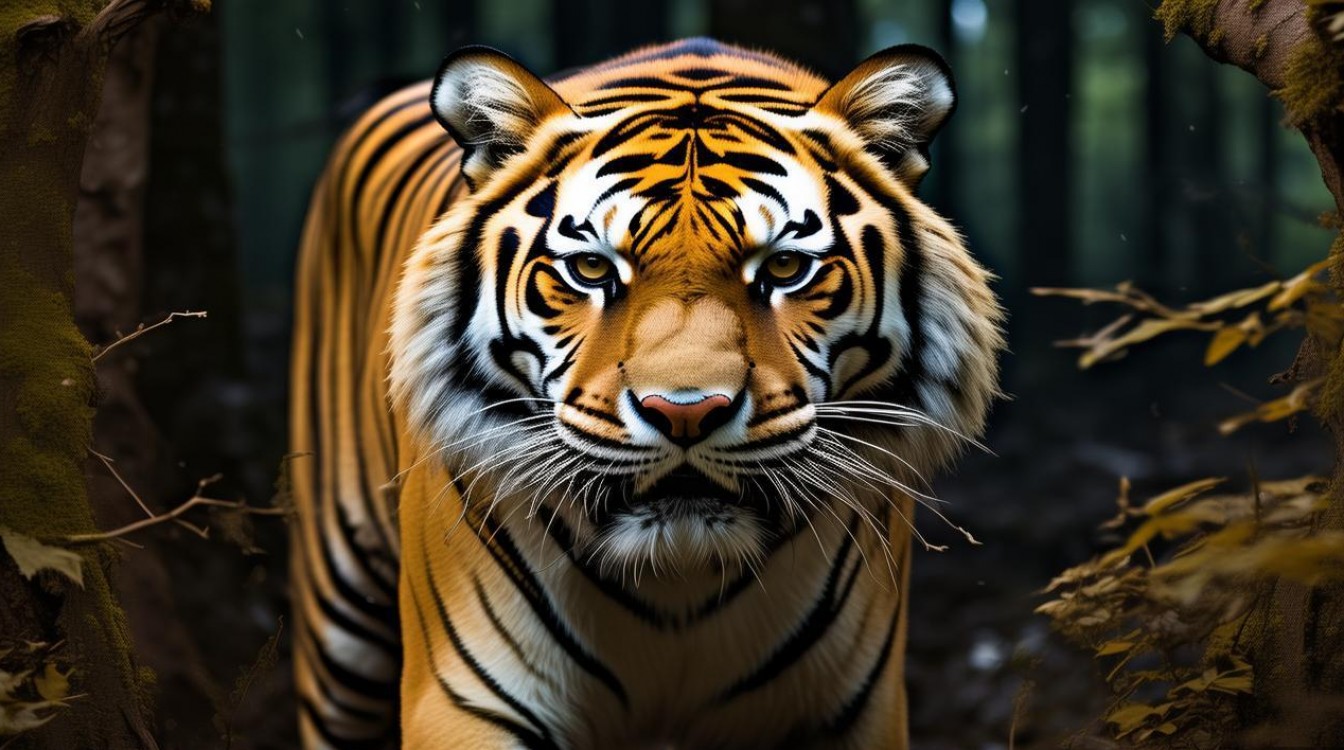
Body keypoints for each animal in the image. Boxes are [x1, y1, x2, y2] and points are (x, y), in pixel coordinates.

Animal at [289, 37, 1003, 750]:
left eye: (784, 267)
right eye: (591, 268)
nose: (685, 415)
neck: (676, 584)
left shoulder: (852, 709)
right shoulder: (469, 703)